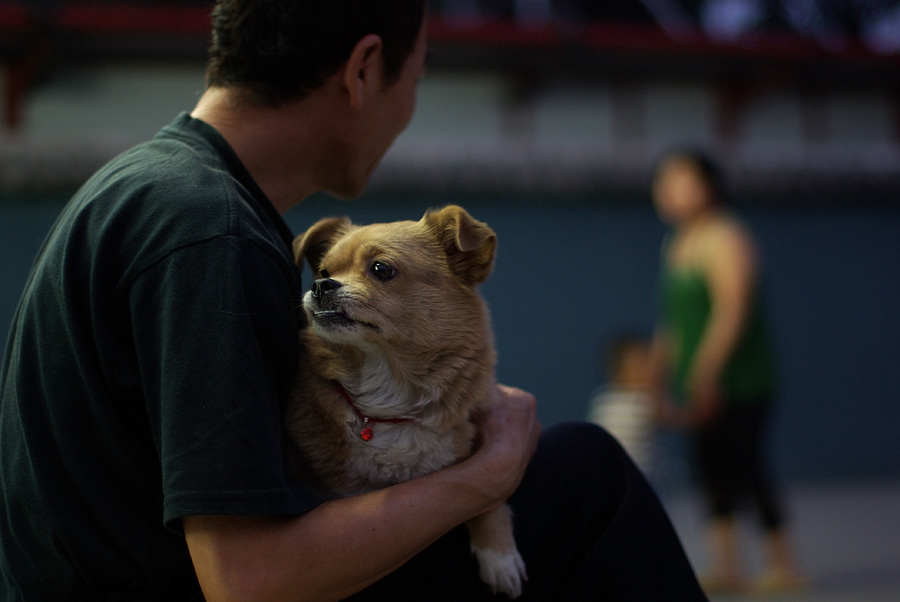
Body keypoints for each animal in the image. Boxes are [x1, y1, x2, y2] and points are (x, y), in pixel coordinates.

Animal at [286, 204, 528, 592]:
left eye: (381, 269)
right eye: (324, 271)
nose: (319, 285)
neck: (388, 387)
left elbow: (490, 501)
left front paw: (499, 556)